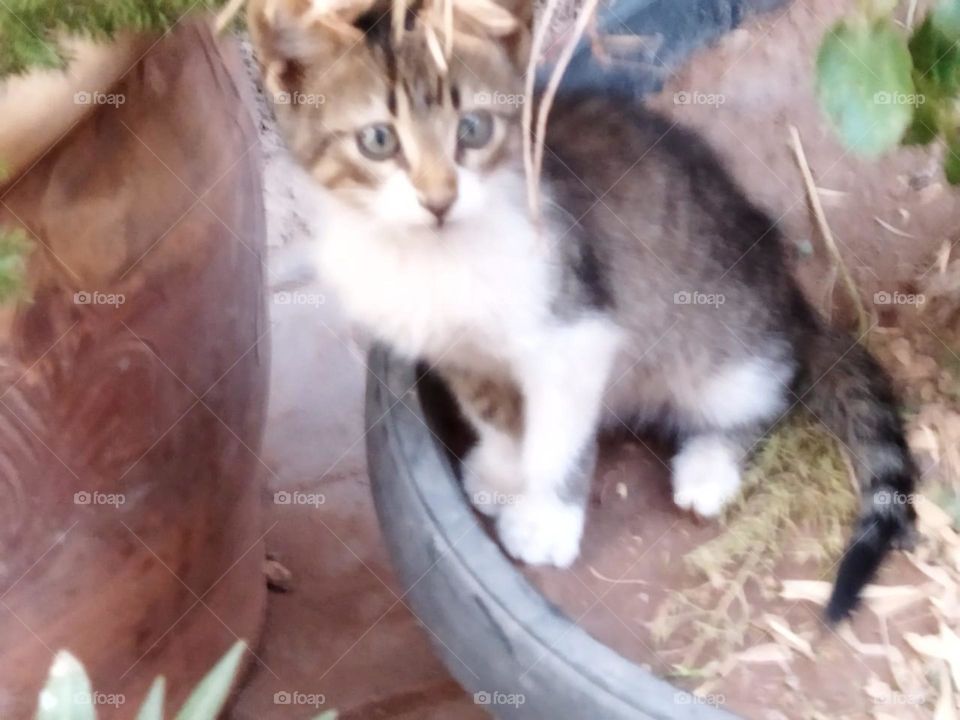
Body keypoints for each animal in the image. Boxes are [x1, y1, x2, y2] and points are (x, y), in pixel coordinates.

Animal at [251, 0, 920, 620]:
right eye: (378, 140)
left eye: (473, 130)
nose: (439, 200)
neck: (431, 254)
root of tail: (793, 300)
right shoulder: (458, 350)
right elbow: (495, 415)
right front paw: (502, 470)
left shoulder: (576, 332)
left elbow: (556, 441)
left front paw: (545, 519)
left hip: (724, 349)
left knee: (759, 397)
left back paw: (707, 467)